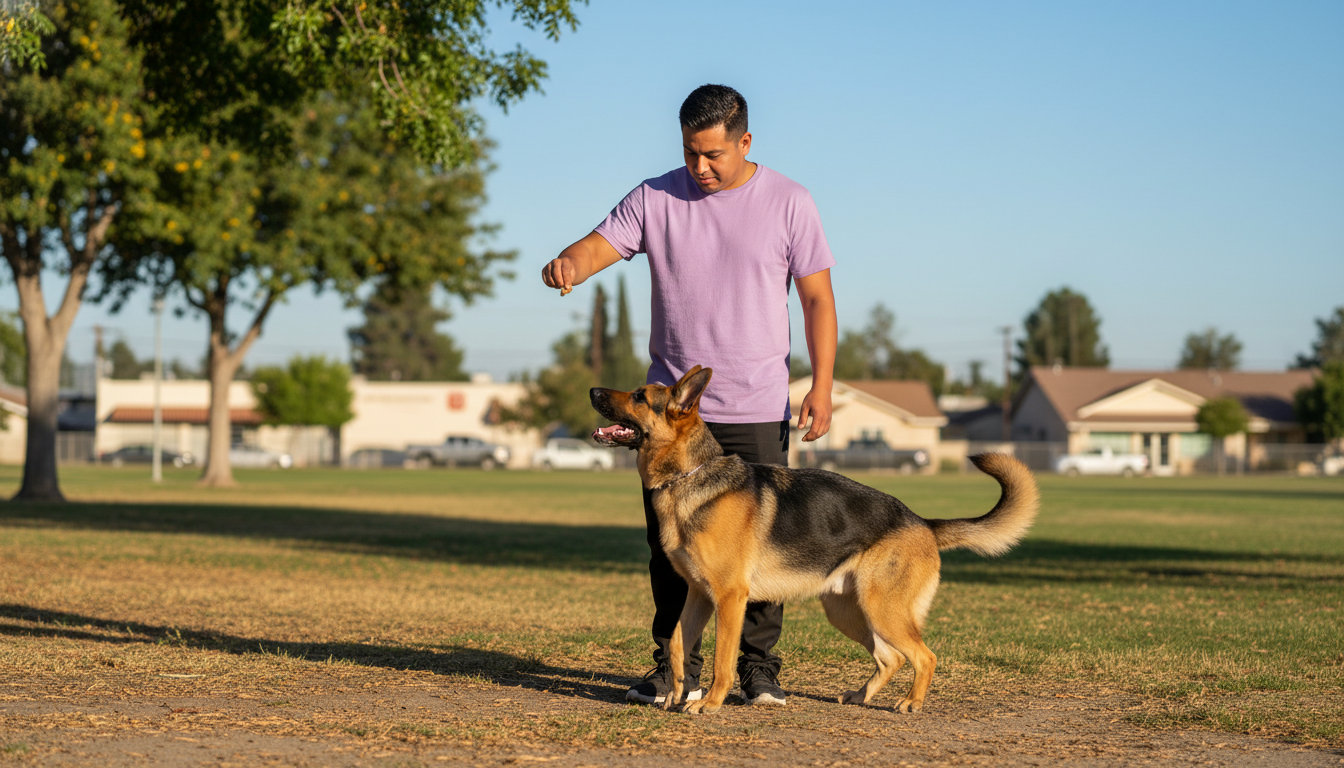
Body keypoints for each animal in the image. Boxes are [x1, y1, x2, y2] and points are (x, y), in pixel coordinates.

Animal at [591, 365, 1039, 714]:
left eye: (639, 396)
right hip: (849, 613)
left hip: (883, 611)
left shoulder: (730, 599)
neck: (689, 476)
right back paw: (860, 696)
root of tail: (923, 522)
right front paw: (676, 694)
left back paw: (912, 702)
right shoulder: (698, 596)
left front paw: (710, 703)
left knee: (924, 656)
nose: (593, 391)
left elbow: (722, 659)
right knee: (891, 658)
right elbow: (678, 647)